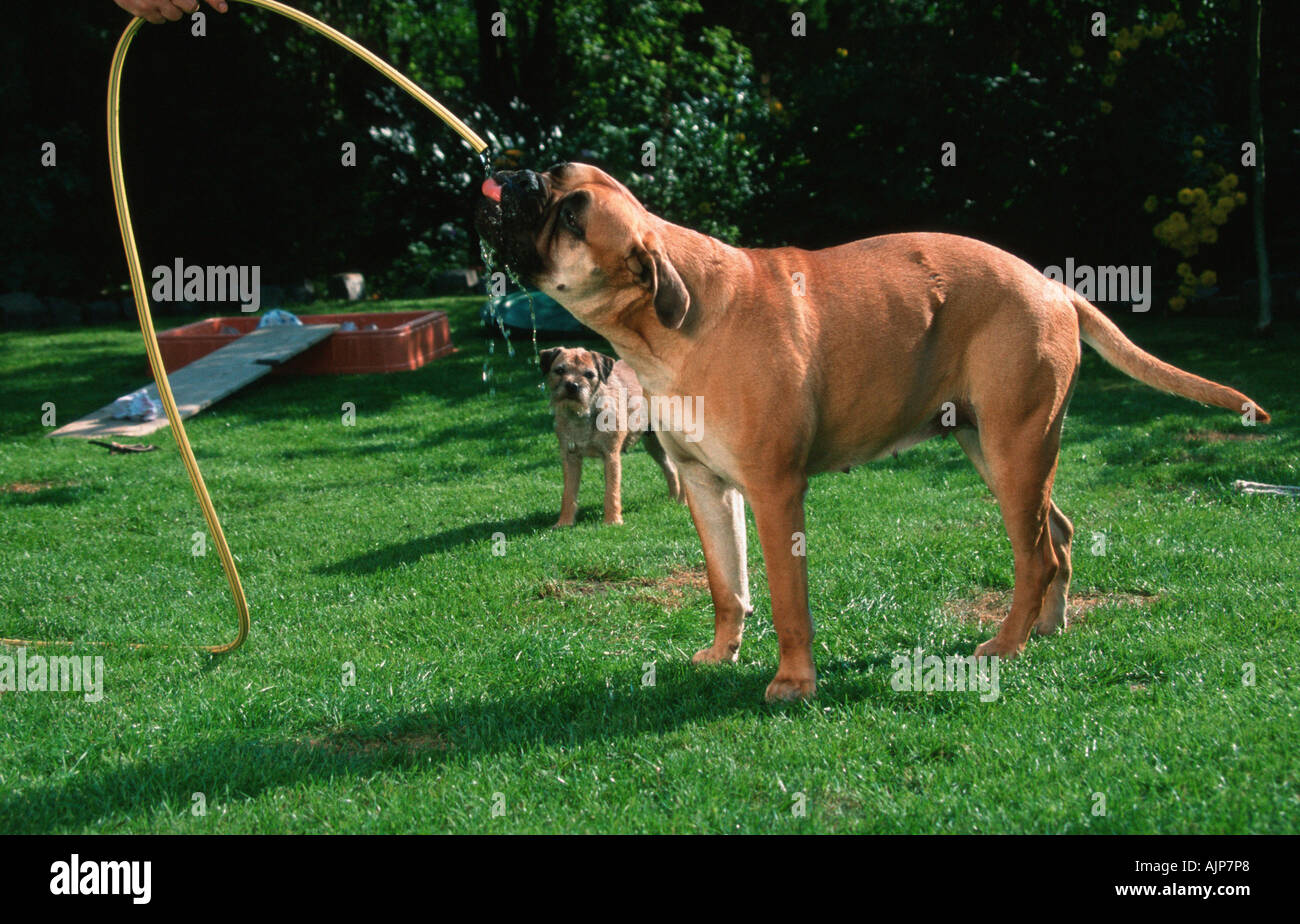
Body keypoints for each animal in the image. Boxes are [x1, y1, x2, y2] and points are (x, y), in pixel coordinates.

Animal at [538, 345, 681, 527]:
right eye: (560, 370)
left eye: (589, 374)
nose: (572, 386)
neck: (583, 414)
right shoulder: (570, 458)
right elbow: (568, 493)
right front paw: (564, 522)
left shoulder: (611, 455)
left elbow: (611, 490)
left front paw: (613, 521)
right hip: (653, 444)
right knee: (671, 469)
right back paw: (673, 499)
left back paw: (683, 502)